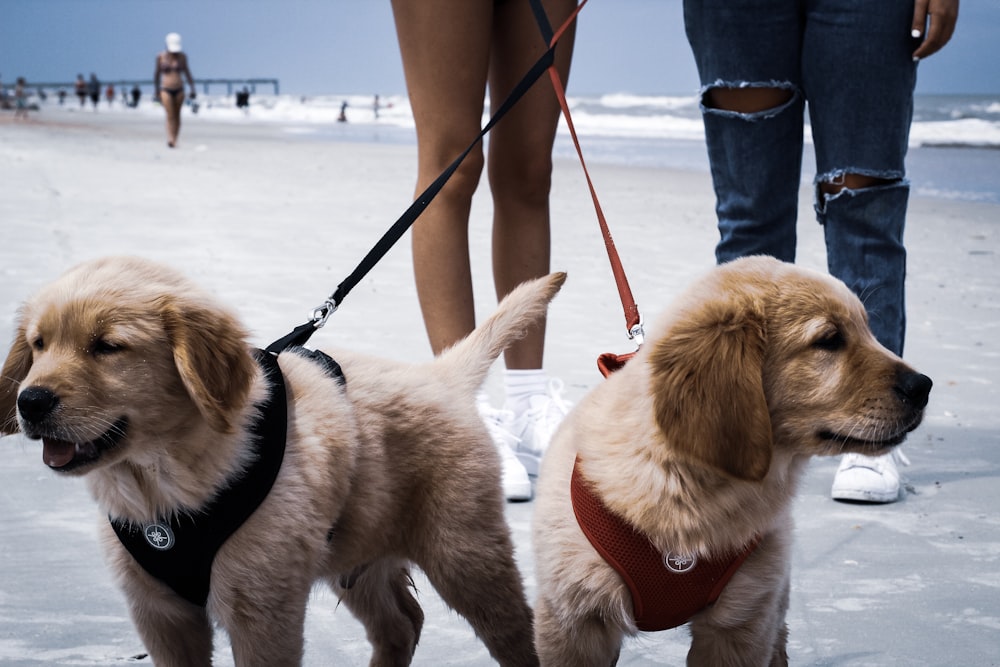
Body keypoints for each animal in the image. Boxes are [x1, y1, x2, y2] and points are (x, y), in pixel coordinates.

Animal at [0, 258, 564, 667]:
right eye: (38, 345)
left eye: (108, 347)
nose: (30, 402)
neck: (160, 478)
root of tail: (442, 375)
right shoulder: (160, 615)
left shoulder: (262, 611)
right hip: (356, 552)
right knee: (402, 624)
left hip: (466, 552)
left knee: (517, 635)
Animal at [536, 258, 932, 667]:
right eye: (829, 340)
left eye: (869, 331)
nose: (923, 386)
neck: (687, 488)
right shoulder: (574, 622)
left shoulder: (742, 622)